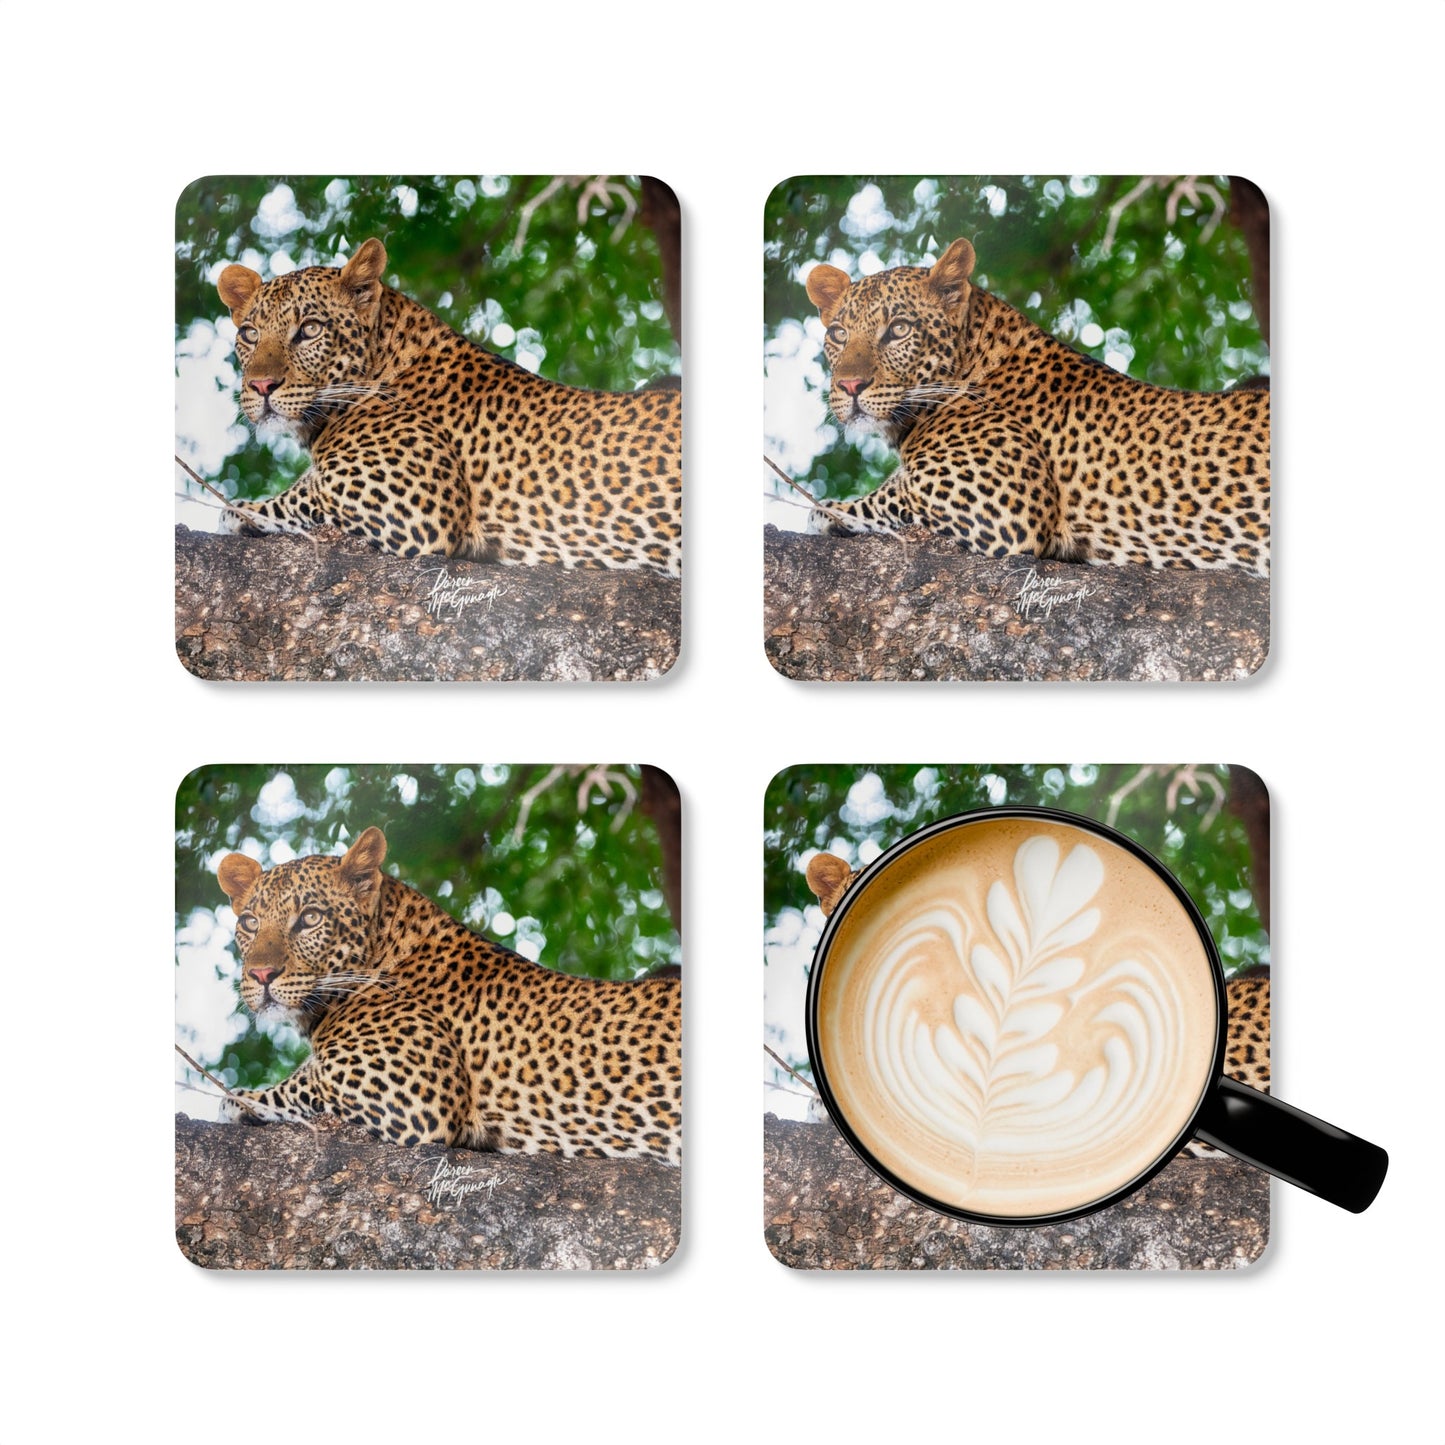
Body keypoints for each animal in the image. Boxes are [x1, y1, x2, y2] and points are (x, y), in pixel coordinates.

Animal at [214, 826, 682, 1163]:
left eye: (310, 918)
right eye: (251, 923)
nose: (261, 974)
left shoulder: (406, 1094)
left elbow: (291, 1086)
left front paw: (239, 1101)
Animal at [215, 237, 681, 574]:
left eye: (310, 329)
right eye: (250, 334)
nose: (261, 385)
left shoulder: (407, 504)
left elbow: (293, 497)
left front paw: (239, 512)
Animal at [802, 237, 1269, 575]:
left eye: (898, 329)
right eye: (839, 334)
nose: (849, 385)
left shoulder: (994, 505)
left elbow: (878, 498)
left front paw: (828, 512)